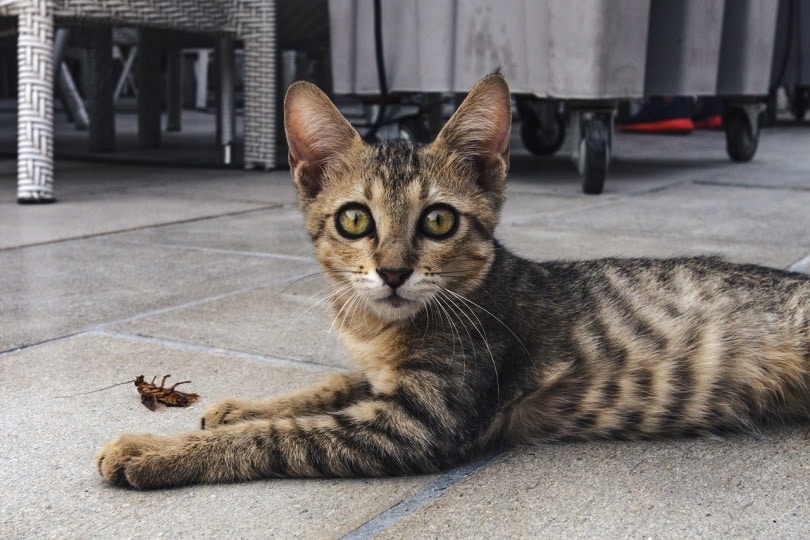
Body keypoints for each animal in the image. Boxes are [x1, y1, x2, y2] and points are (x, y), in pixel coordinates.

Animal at [96, 73, 808, 490]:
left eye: (438, 220)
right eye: (355, 219)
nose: (392, 271)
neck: (382, 327)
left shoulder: (420, 422)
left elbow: (285, 437)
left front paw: (153, 452)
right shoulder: (380, 380)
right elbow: (327, 386)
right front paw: (240, 406)